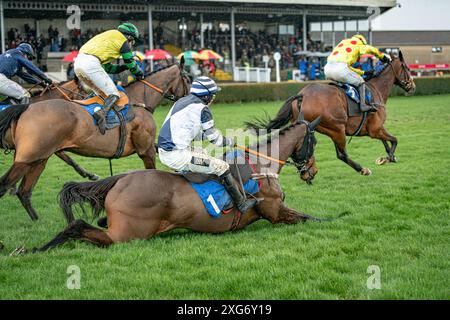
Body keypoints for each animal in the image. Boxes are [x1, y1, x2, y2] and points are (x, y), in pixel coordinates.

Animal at [0, 63, 188, 222]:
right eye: (187, 78)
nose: (188, 100)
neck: (140, 102)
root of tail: (26, 108)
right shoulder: (145, 149)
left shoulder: (147, 146)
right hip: (28, 158)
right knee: (6, 185)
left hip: (39, 158)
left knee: (24, 191)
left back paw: (39, 221)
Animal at [29, 116, 324, 251]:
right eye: (314, 141)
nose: (312, 171)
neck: (261, 166)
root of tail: (121, 178)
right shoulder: (274, 212)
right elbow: (310, 218)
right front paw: (333, 219)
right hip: (128, 233)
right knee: (80, 226)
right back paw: (41, 247)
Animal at [246, 51, 414, 175]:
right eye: (407, 68)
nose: (413, 86)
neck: (376, 90)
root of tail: (302, 95)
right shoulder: (375, 129)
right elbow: (395, 140)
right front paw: (388, 158)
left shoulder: (375, 128)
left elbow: (386, 141)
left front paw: (390, 156)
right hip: (337, 128)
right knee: (342, 154)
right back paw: (362, 169)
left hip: (313, 127)